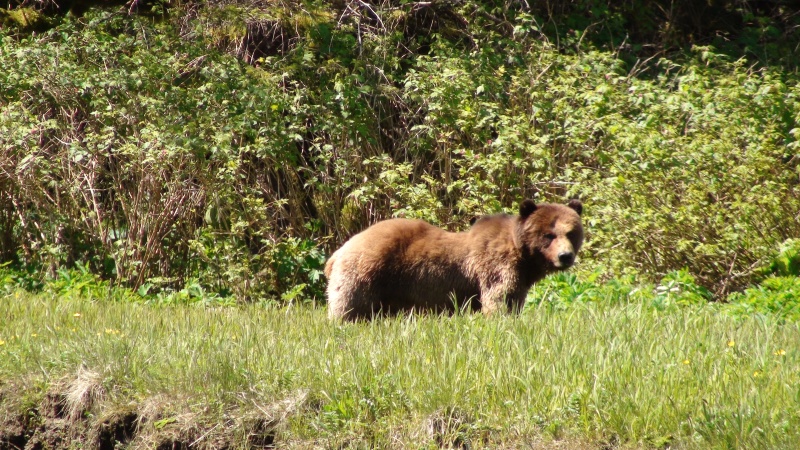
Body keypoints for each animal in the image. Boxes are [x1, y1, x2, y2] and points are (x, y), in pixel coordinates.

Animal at [325, 199, 583, 321]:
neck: (525, 259)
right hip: (367, 272)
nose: (565, 256)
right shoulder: (496, 267)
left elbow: (513, 300)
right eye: (549, 235)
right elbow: (498, 297)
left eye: (571, 232)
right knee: (349, 304)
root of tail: (339, 250)